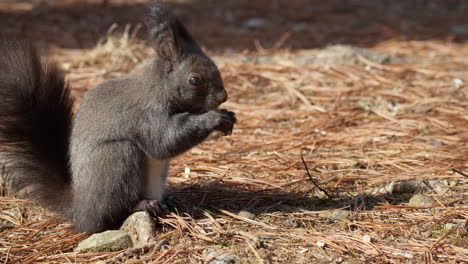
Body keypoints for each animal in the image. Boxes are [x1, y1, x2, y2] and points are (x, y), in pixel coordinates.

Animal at [0, 2, 236, 233]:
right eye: (195, 80)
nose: (223, 96)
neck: (159, 88)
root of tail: (80, 211)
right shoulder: (148, 115)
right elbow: (164, 141)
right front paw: (216, 118)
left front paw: (229, 116)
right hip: (116, 159)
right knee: (109, 215)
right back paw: (142, 206)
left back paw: (165, 203)